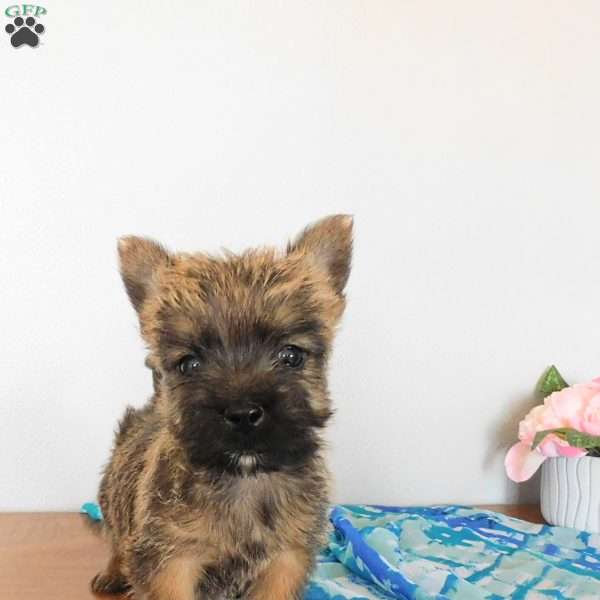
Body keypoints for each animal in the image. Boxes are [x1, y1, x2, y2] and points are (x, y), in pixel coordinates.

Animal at [92, 216, 354, 600]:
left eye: (291, 356)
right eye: (189, 364)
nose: (243, 413)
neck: (245, 479)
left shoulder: (285, 560)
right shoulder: (172, 561)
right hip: (112, 496)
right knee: (116, 536)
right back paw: (112, 573)